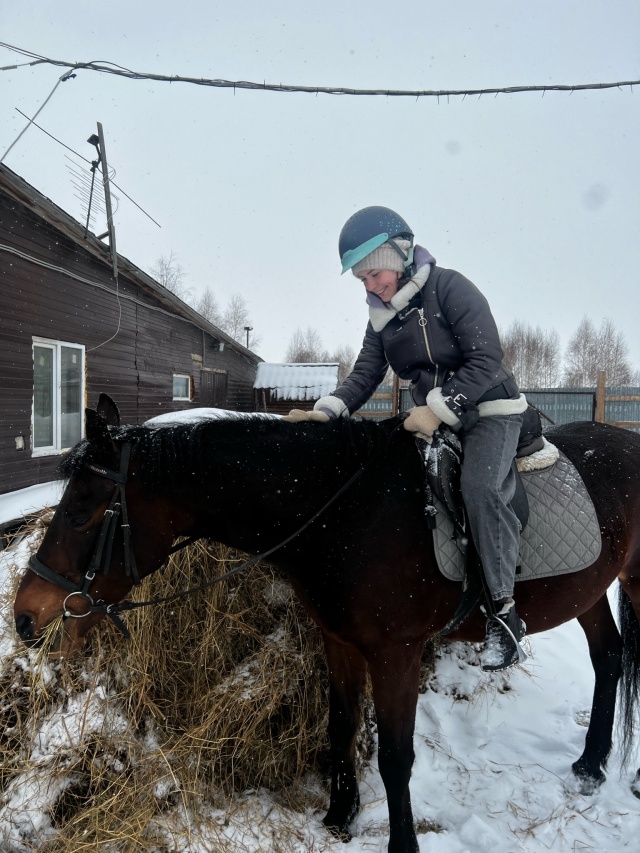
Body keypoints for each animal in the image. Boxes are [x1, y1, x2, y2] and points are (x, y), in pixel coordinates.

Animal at [12, 394, 640, 852]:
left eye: (81, 510)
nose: (26, 616)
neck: (345, 514)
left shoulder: (396, 653)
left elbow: (396, 756)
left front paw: (402, 846)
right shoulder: (339, 641)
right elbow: (339, 728)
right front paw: (340, 816)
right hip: (588, 592)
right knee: (609, 657)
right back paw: (589, 766)